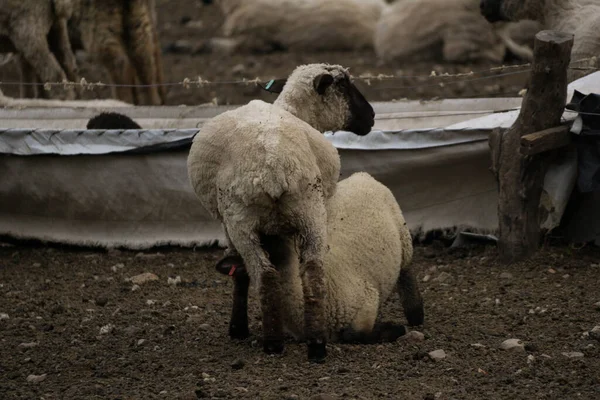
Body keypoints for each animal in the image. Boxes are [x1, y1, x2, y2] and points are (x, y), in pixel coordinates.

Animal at [188, 62, 376, 362]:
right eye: (344, 85)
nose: (371, 116)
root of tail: (273, 162)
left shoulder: (228, 228)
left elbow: (240, 274)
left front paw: (237, 329)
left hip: (242, 221)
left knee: (264, 275)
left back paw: (273, 344)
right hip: (311, 211)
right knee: (313, 273)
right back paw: (316, 345)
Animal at [213, 172, 424, 346]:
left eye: (278, 235)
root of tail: (362, 175)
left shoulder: (367, 301)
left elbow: (354, 334)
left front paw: (393, 329)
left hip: (403, 236)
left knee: (407, 275)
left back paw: (416, 317)